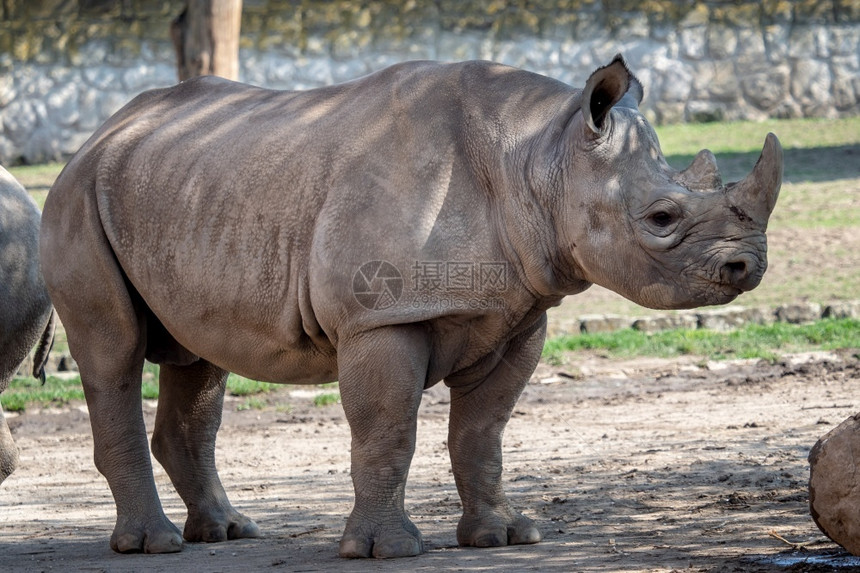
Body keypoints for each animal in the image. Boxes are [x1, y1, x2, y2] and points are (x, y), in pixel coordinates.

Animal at [38, 55, 780, 556]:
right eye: (661, 217)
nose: (748, 267)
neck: (540, 158)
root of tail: (98, 134)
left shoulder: (517, 315)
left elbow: (483, 433)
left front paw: (504, 537)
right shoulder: (382, 318)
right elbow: (389, 428)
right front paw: (386, 551)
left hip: (179, 187)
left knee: (196, 357)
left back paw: (227, 532)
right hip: (76, 197)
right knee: (113, 354)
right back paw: (154, 544)